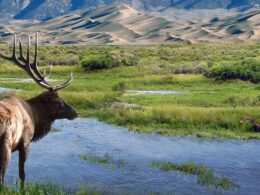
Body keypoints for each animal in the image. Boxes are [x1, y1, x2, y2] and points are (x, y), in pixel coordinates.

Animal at [0, 33, 77, 186]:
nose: (75, 113)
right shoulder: (25, 142)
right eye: (57, 101)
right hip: (5, 145)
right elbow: (22, 174)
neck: (35, 117)